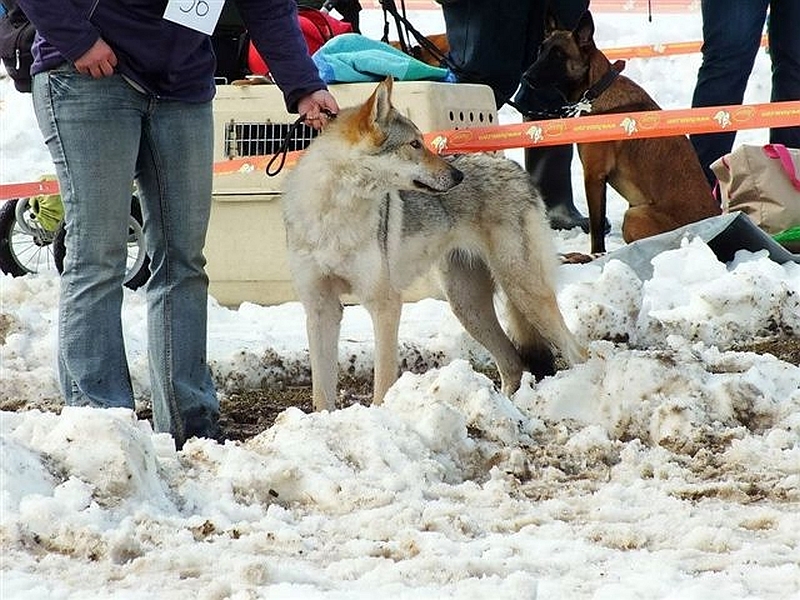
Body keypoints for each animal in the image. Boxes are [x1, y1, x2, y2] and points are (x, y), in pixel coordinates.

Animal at [524, 9, 720, 253]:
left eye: (558, 55)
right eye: (541, 50)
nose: (525, 76)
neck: (597, 89)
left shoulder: (594, 176)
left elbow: (597, 229)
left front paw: (596, 255)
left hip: (634, 215)